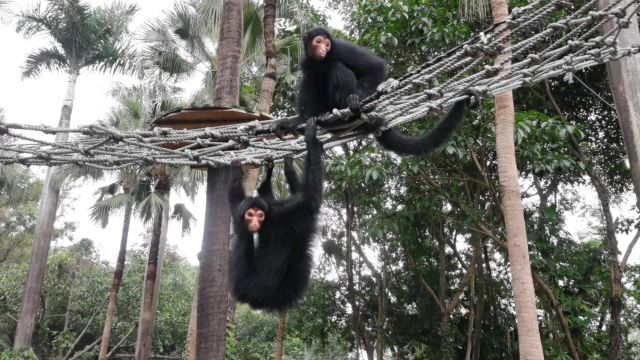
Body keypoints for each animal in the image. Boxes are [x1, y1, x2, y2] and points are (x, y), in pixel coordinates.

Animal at [228, 118, 322, 312]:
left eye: (259, 216)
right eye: (250, 215)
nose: (254, 223)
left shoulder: (276, 215)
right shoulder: (249, 211)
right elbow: (311, 201)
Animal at [272, 27, 480, 157]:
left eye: (327, 44)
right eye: (318, 42)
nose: (323, 49)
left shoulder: (341, 48)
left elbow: (376, 67)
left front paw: (355, 98)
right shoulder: (306, 60)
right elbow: (308, 83)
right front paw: (298, 120)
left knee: (337, 67)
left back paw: (345, 114)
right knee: (313, 80)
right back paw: (320, 116)